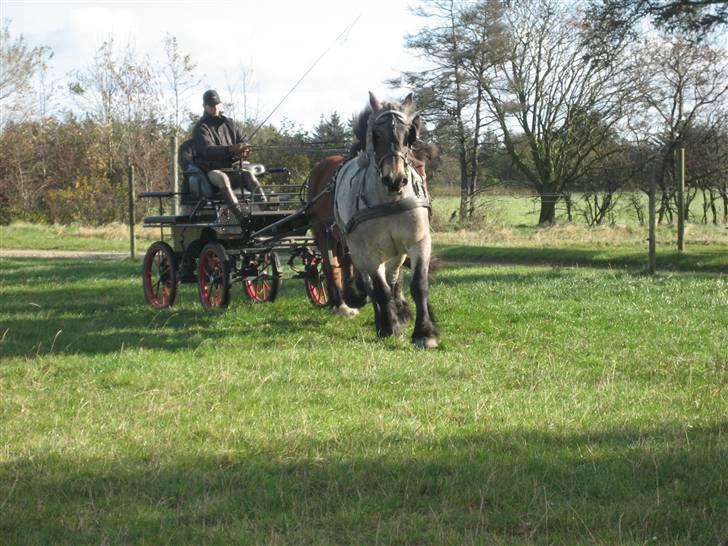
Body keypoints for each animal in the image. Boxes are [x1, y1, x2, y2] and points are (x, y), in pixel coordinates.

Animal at [304, 109, 436, 316]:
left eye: (422, 167)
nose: (397, 182)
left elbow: (394, 272)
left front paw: (399, 303)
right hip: (322, 231)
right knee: (330, 266)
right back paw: (341, 304)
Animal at [334, 91, 438, 346]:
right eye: (377, 135)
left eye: (409, 135)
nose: (395, 179)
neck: (390, 199)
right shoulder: (369, 253)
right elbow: (380, 291)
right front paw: (390, 327)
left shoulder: (419, 242)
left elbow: (418, 285)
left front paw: (425, 333)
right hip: (359, 253)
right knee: (372, 287)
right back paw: (383, 321)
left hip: (396, 253)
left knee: (393, 279)